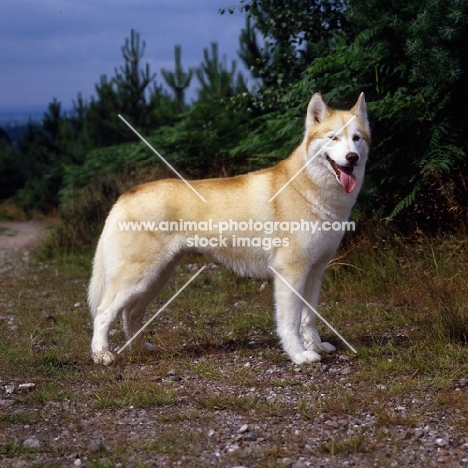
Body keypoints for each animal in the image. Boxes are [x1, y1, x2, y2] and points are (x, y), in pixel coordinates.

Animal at [89, 92, 372, 366]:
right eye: (333, 137)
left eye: (356, 138)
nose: (352, 157)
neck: (309, 189)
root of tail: (124, 196)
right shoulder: (290, 272)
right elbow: (290, 322)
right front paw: (299, 355)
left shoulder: (315, 271)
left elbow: (309, 317)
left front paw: (316, 346)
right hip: (138, 278)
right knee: (104, 313)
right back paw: (102, 355)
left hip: (157, 278)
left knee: (131, 314)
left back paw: (139, 349)